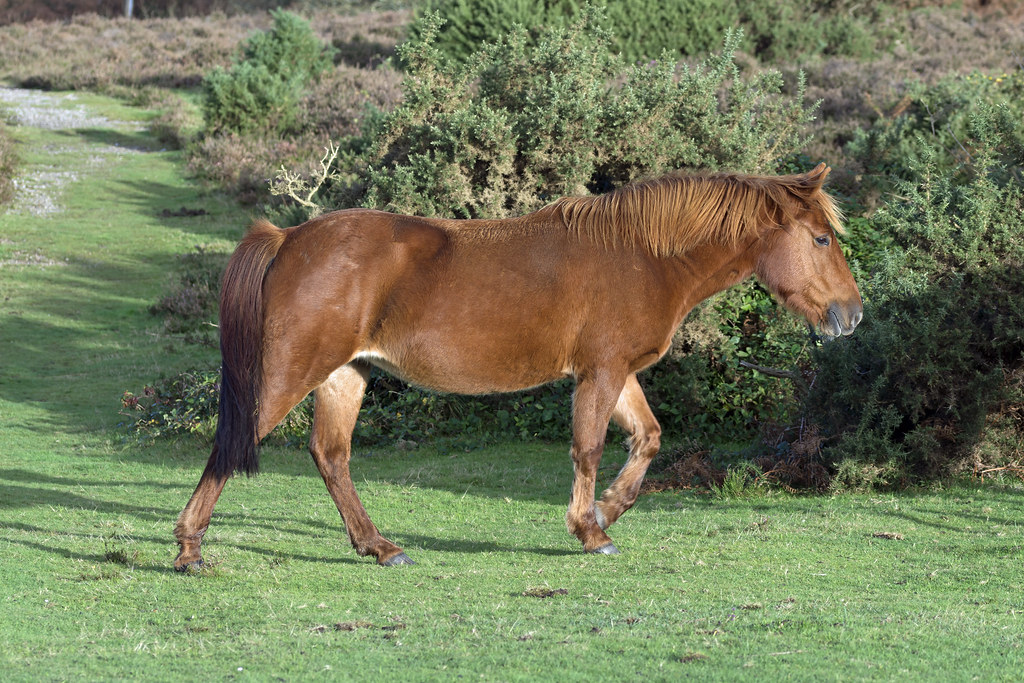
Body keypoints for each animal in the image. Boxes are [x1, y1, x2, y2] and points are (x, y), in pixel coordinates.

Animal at [173, 162, 862, 569]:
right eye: (821, 238)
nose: (851, 315)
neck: (642, 254)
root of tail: (289, 238)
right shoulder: (599, 371)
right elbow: (588, 448)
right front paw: (589, 529)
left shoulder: (618, 373)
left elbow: (647, 439)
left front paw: (606, 511)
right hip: (293, 372)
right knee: (237, 441)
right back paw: (187, 549)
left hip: (347, 374)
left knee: (331, 455)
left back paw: (380, 547)